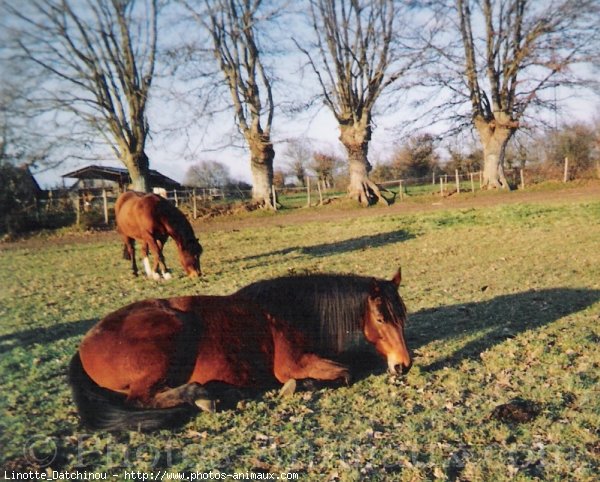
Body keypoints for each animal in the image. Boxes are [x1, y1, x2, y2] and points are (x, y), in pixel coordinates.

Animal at [68, 276, 410, 432]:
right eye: (381, 319)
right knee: (139, 399)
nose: (403, 366)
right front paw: (297, 386)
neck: (296, 312)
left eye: (402, 316)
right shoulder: (296, 364)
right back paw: (203, 396)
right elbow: (345, 373)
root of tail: (83, 347)